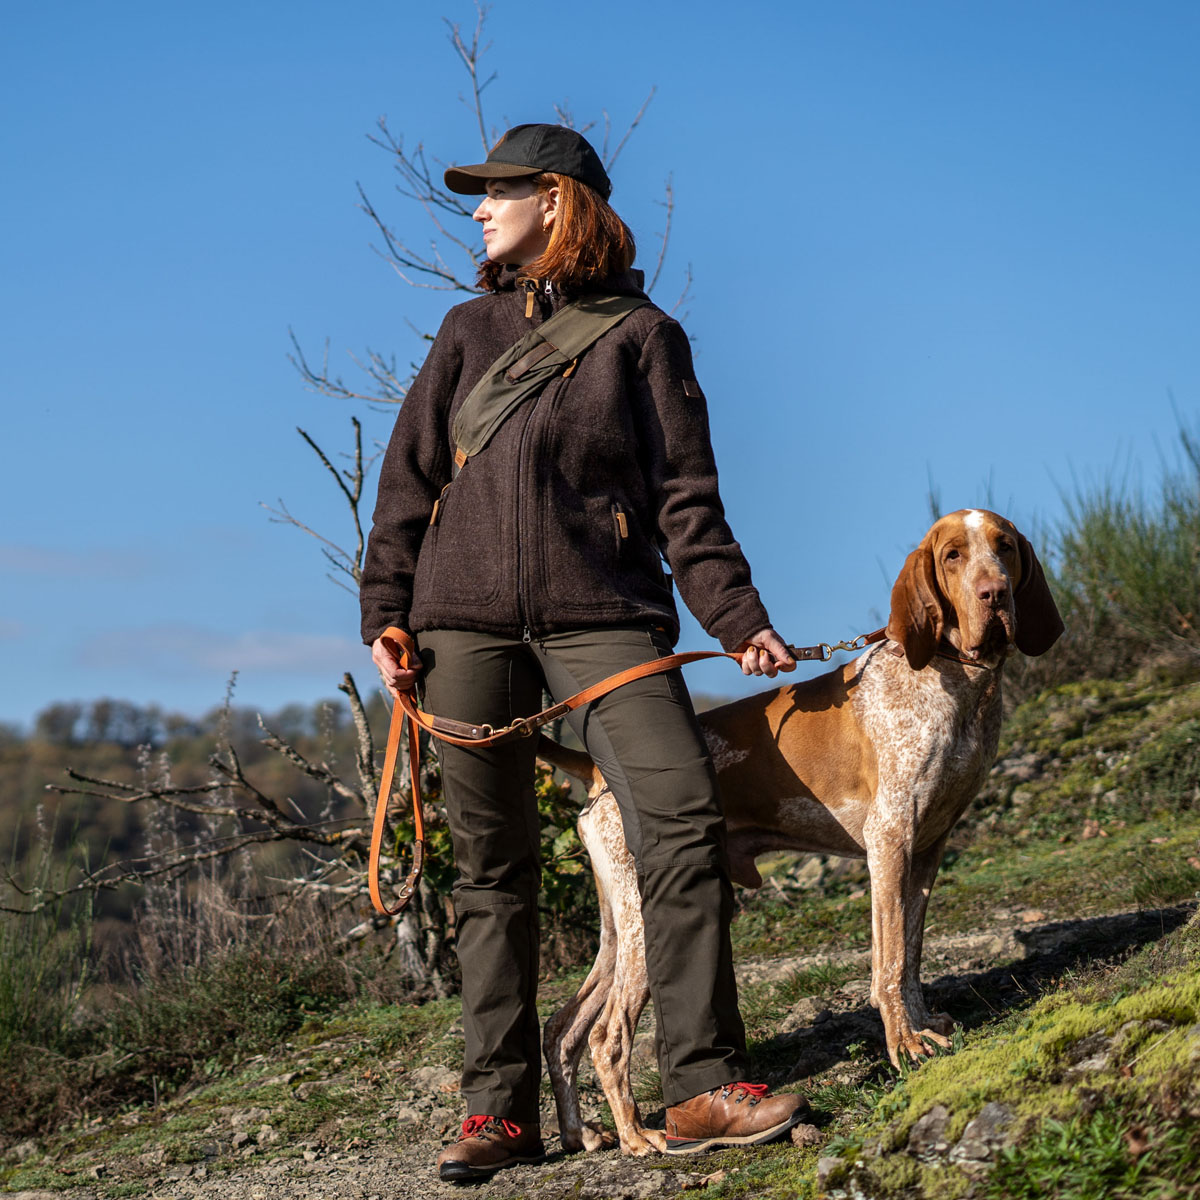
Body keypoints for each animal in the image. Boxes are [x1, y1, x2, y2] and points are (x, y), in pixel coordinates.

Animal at [542, 506, 1060, 1152]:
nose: (995, 594)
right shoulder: (890, 841)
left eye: (1004, 547)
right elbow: (889, 965)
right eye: (953, 556)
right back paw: (638, 1138)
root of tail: (596, 771)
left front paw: (923, 1027)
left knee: (561, 1026)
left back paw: (579, 1134)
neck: (955, 680)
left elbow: (912, 956)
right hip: (643, 918)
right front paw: (905, 1046)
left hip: (619, 923)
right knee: (606, 1035)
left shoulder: (927, 850)